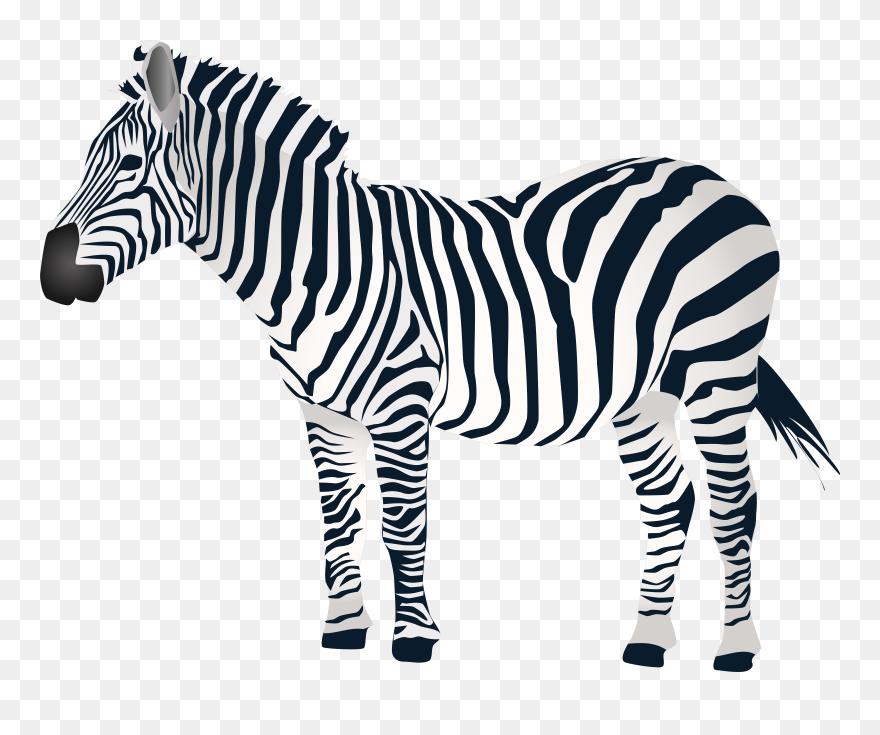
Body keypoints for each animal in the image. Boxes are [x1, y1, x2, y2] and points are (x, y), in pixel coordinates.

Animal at [41, 42, 839, 670]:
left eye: (132, 166)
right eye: (86, 162)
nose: (52, 278)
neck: (317, 263)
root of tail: (715, 178)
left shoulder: (402, 402)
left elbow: (402, 522)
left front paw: (412, 637)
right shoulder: (323, 412)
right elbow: (338, 520)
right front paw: (344, 631)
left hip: (718, 369)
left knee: (735, 502)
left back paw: (735, 647)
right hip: (644, 391)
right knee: (669, 500)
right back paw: (646, 640)